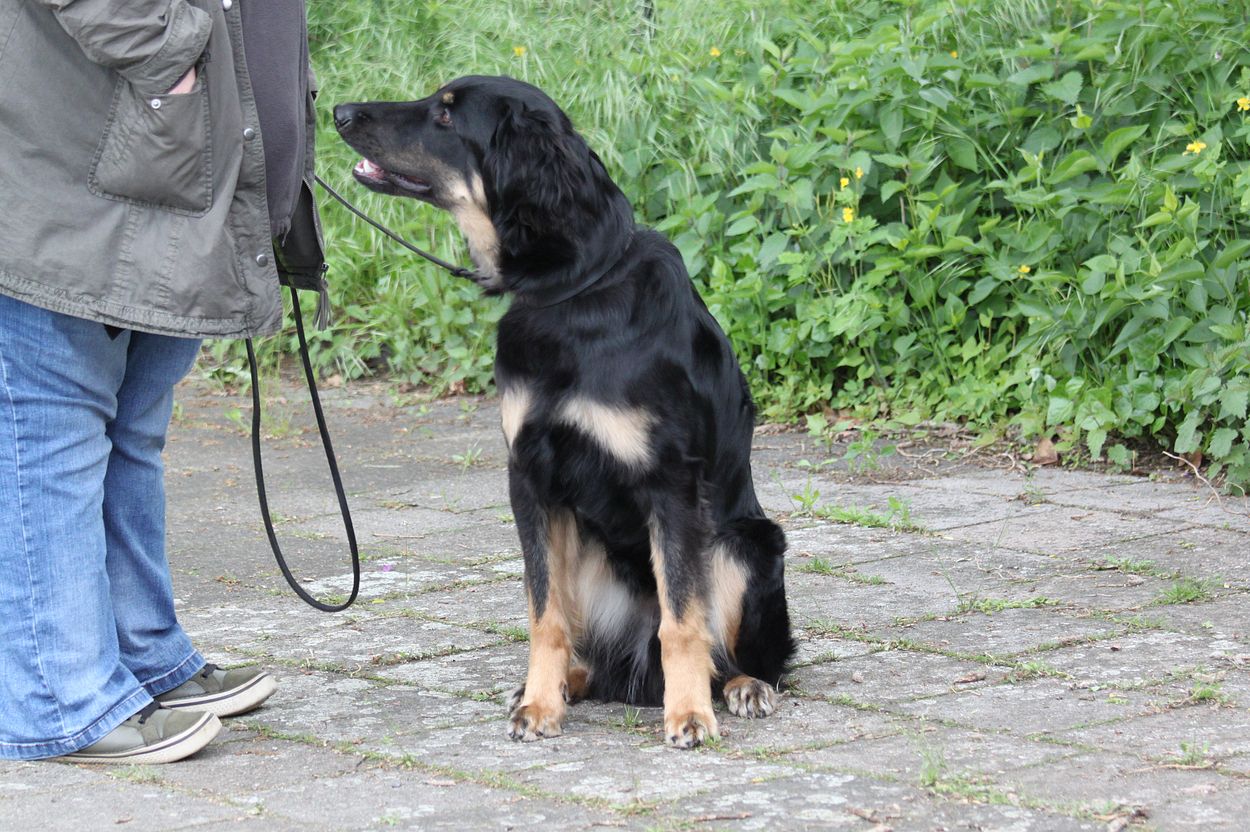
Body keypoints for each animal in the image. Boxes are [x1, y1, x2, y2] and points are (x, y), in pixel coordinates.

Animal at [334, 76, 794, 748]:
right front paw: (540, 702)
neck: (573, 293)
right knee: (594, 653)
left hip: (742, 545)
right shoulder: (532, 477)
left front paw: (688, 713)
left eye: (447, 115)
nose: (338, 110)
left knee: (735, 651)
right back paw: (566, 683)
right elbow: (544, 614)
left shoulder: (672, 485)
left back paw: (739, 685)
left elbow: (682, 620)